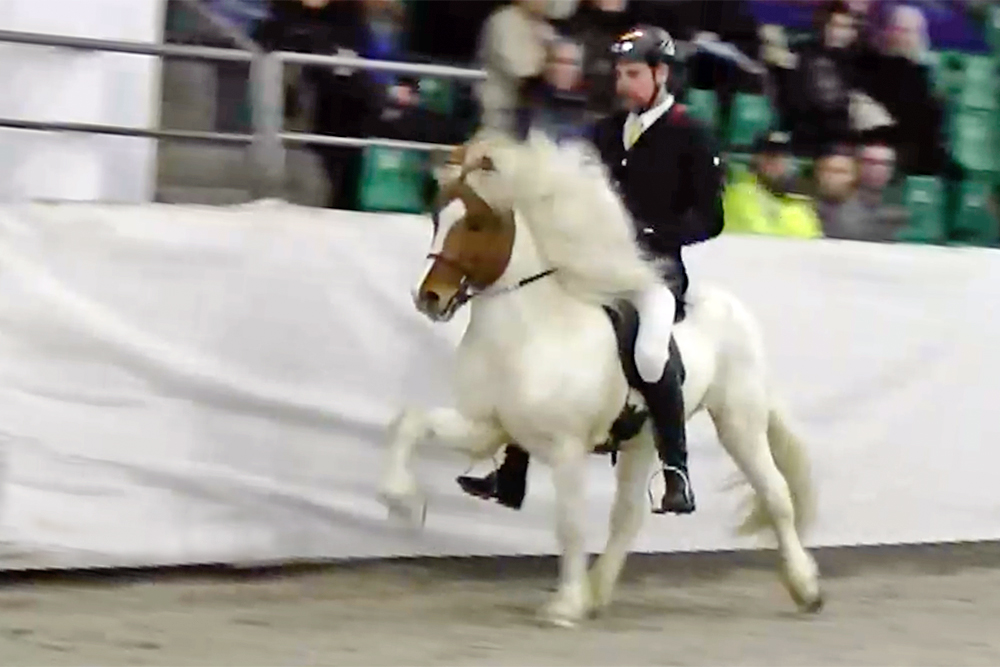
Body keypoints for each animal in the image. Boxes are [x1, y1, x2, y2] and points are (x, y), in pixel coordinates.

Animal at [376, 134, 820, 628]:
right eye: (438, 218)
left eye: (476, 223)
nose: (429, 298)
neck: (531, 328)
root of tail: (733, 306)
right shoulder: (486, 427)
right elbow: (411, 421)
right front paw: (401, 500)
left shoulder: (567, 447)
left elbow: (569, 524)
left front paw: (564, 605)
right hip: (644, 439)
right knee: (627, 517)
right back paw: (598, 591)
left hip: (738, 419)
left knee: (776, 494)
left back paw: (805, 588)